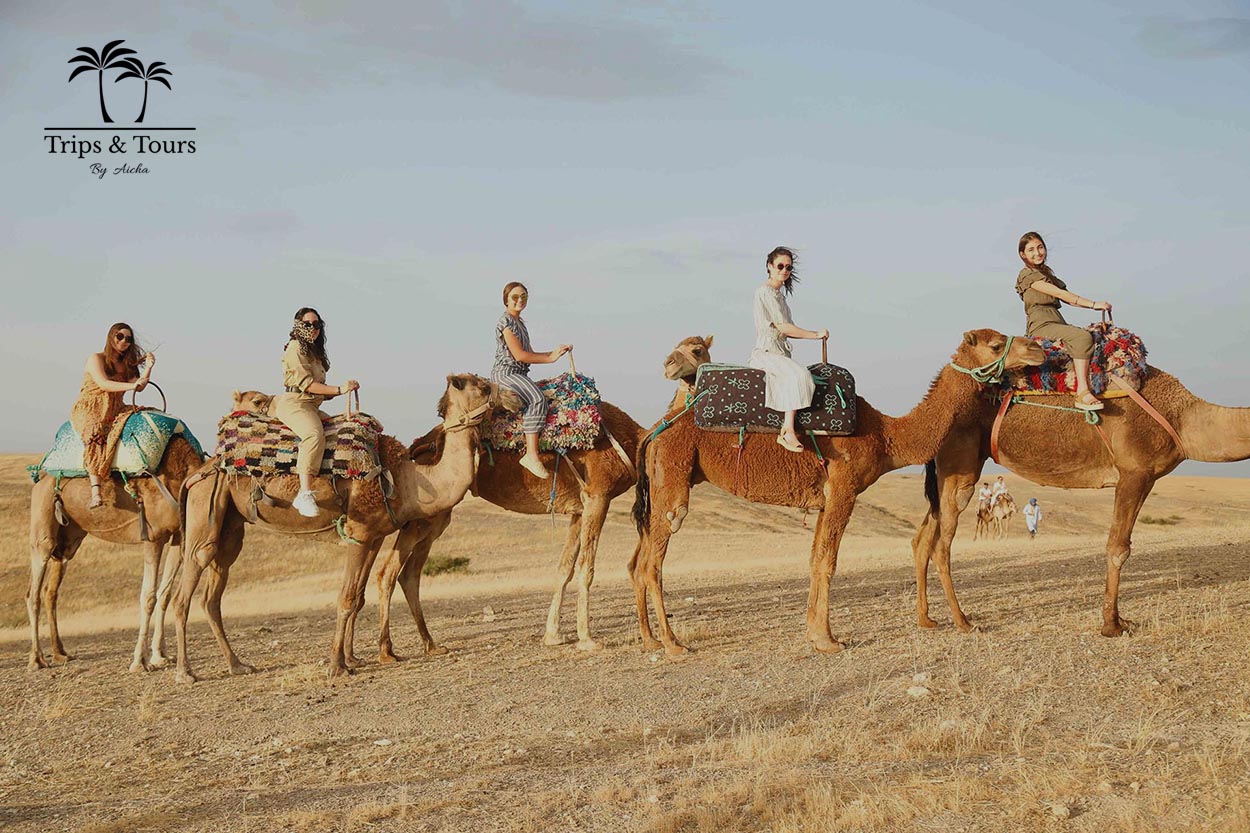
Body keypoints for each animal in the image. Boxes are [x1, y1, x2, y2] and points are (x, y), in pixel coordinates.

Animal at [28, 433, 203, 672]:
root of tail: (41, 478)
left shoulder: (176, 536)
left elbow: (164, 594)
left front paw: (160, 656)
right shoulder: (153, 536)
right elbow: (148, 596)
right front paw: (139, 662)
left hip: (68, 539)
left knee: (50, 591)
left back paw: (60, 653)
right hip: (42, 527)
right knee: (33, 593)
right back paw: (36, 659)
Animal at [172, 374, 521, 682]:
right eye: (484, 386)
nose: (516, 400)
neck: (407, 480)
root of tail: (201, 469)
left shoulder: (373, 537)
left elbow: (359, 596)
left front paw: (353, 658)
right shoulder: (359, 532)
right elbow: (346, 598)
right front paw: (337, 666)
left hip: (230, 526)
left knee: (212, 595)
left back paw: (237, 665)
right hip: (204, 514)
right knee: (186, 589)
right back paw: (186, 672)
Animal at [629, 330, 1047, 655]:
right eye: (996, 345)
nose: (1038, 349)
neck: (885, 435)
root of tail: (654, 432)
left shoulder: (825, 499)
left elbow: (815, 558)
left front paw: (814, 632)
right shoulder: (844, 488)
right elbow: (829, 561)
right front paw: (829, 639)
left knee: (641, 561)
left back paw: (651, 640)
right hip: (673, 484)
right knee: (653, 563)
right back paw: (673, 644)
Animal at [911, 366, 1250, 637]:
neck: (1183, 418)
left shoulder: (1148, 478)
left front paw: (1120, 620)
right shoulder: (1133, 473)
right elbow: (1118, 548)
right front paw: (1111, 625)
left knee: (923, 537)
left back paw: (927, 619)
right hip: (961, 468)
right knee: (941, 543)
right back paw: (962, 621)